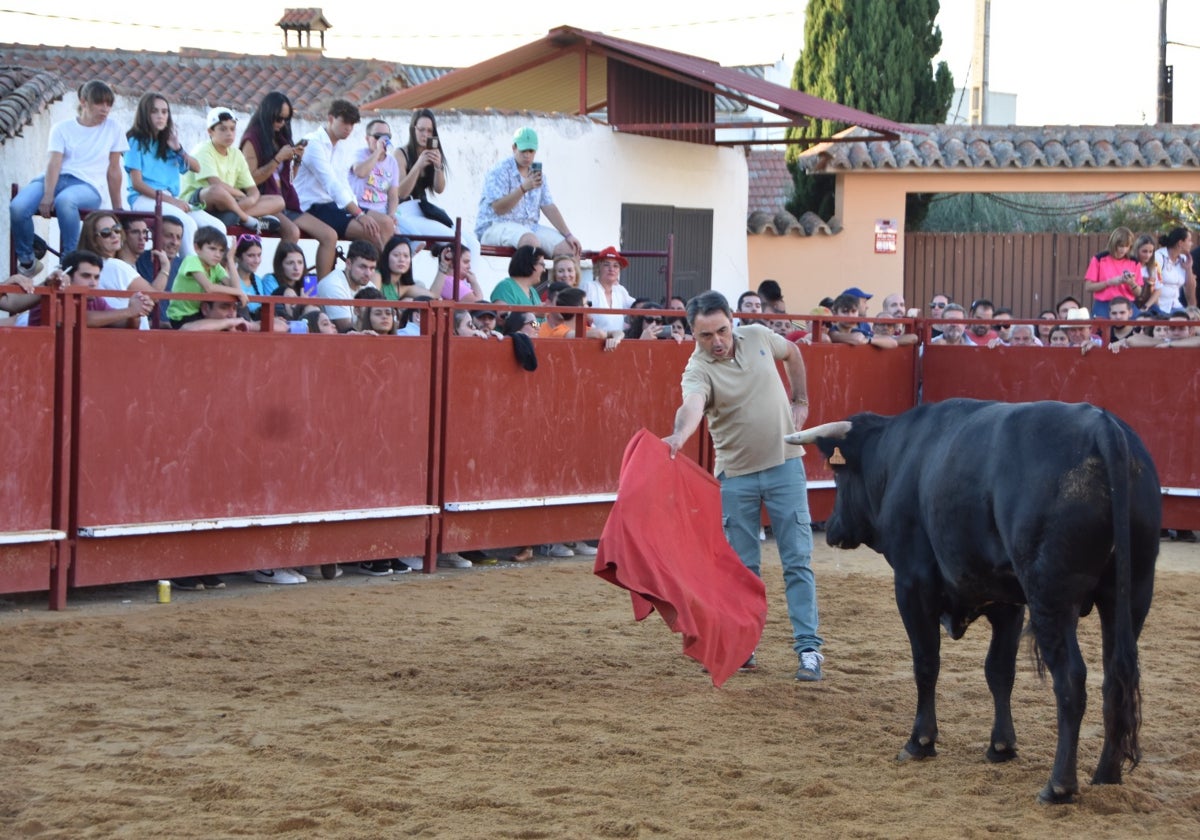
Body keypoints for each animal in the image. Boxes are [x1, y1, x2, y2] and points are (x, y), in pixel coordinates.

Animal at [792, 400, 1156, 806]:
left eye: (839, 476)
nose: (832, 528)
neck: (898, 454)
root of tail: (1102, 427)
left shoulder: (912, 585)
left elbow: (926, 664)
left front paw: (920, 742)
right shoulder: (1009, 603)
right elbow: (999, 671)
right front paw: (1001, 746)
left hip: (1051, 598)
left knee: (1071, 680)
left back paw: (1059, 785)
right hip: (1131, 595)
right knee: (1115, 678)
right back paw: (1107, 774)